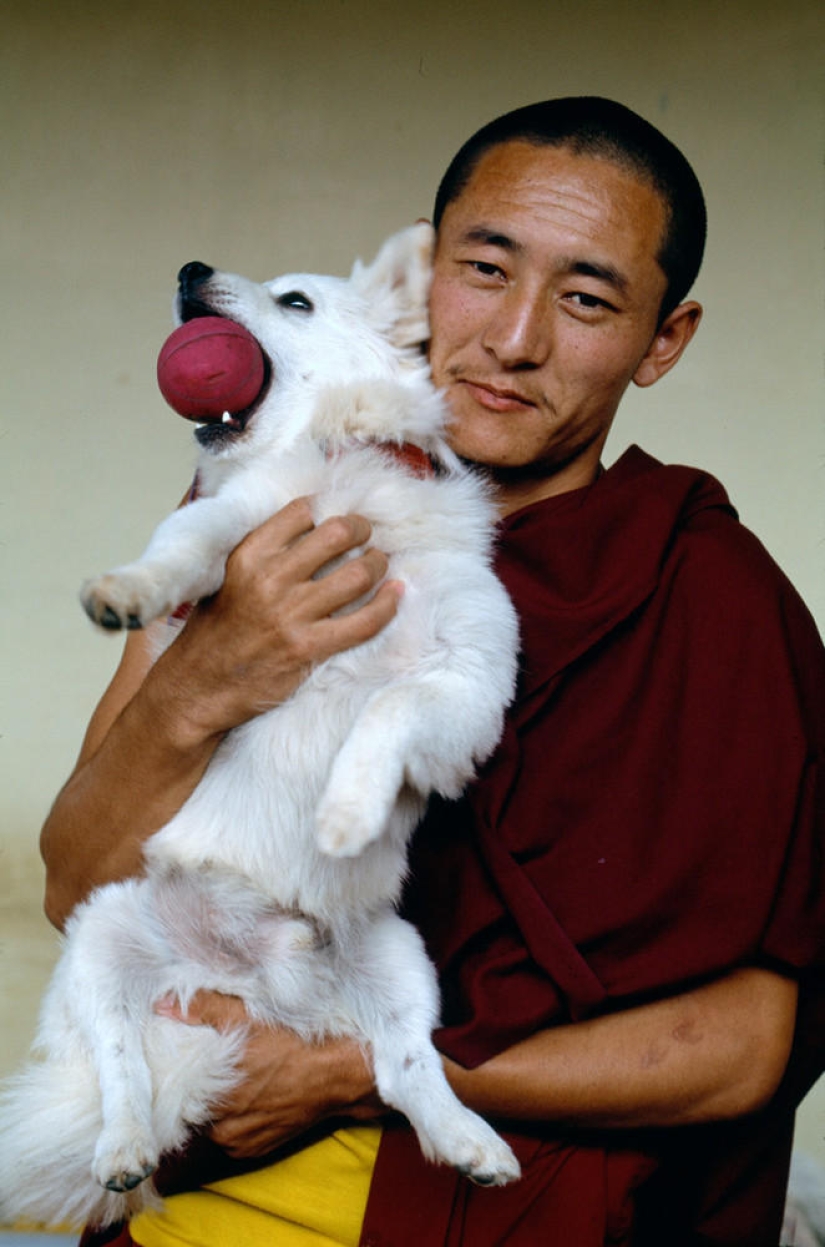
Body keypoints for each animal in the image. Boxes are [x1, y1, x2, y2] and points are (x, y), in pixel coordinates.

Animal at [0, 224, 520, 1227]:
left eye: (296, 301)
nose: (188, 269)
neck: (344, 472)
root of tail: (250, 987)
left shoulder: (468, 688)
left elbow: (389, 704)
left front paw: (347, 811)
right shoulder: (233, 536)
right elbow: (183, 552)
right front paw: (127, 591)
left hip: (402, 960)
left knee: (404, 1069)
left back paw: (469, 1140)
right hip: (101, 942)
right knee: (121, 1066)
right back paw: (122, 1145)